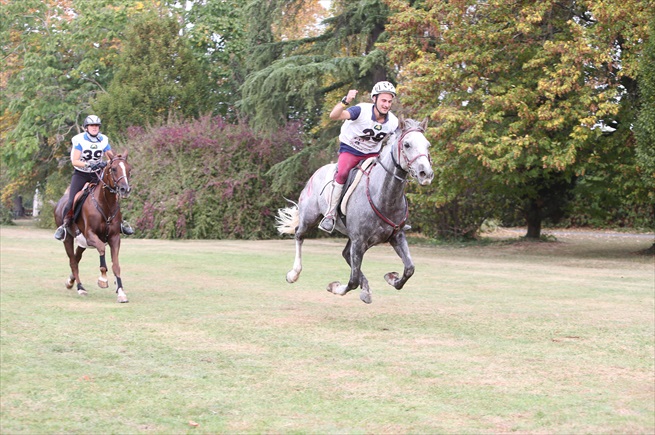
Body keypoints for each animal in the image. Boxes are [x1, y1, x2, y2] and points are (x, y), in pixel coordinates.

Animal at [54, 153, 133, 304]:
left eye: (129, 169)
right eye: (114, 169)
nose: (125, 189)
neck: (105, 204)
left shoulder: (114, 238)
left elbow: (116, 265)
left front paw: (121, 292)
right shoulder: (91, 236)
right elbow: (102, 249)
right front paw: (103, 279)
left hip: (82, 242)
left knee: (77, 258)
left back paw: (70, 281)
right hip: (69, 238)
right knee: (73, 261)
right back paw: (80, 288)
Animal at [276, 117, 436, 304]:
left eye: (428, 145)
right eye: (407, 145)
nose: (426, 174)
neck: (383, 195)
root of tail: (317, 173)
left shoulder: (396, 236)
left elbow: (410, 268)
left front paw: (391, 278)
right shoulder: (359, 241)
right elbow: (351, 281)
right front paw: (335, 287)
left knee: (345, 254)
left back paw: (365, 289)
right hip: (309, 218)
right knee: (299, 235)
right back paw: (293, 274)